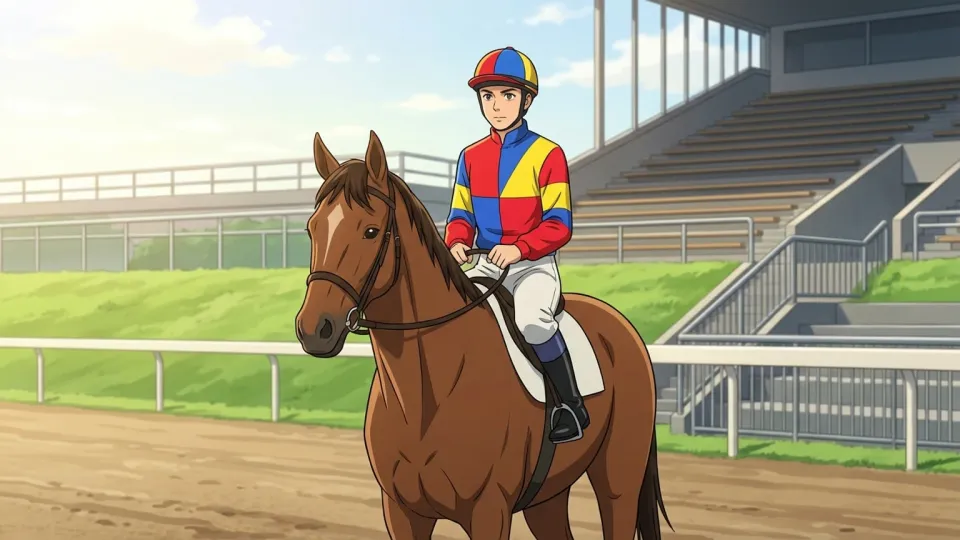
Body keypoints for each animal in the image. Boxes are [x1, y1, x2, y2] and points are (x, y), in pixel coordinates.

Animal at [295, 129, 671, 539]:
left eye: (370, 230)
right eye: (312, 228)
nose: (314, 328)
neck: (423, 402)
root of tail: (623, 325)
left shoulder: (489, 510)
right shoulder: (400, 511)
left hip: (618, 477)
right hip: (547, 497)